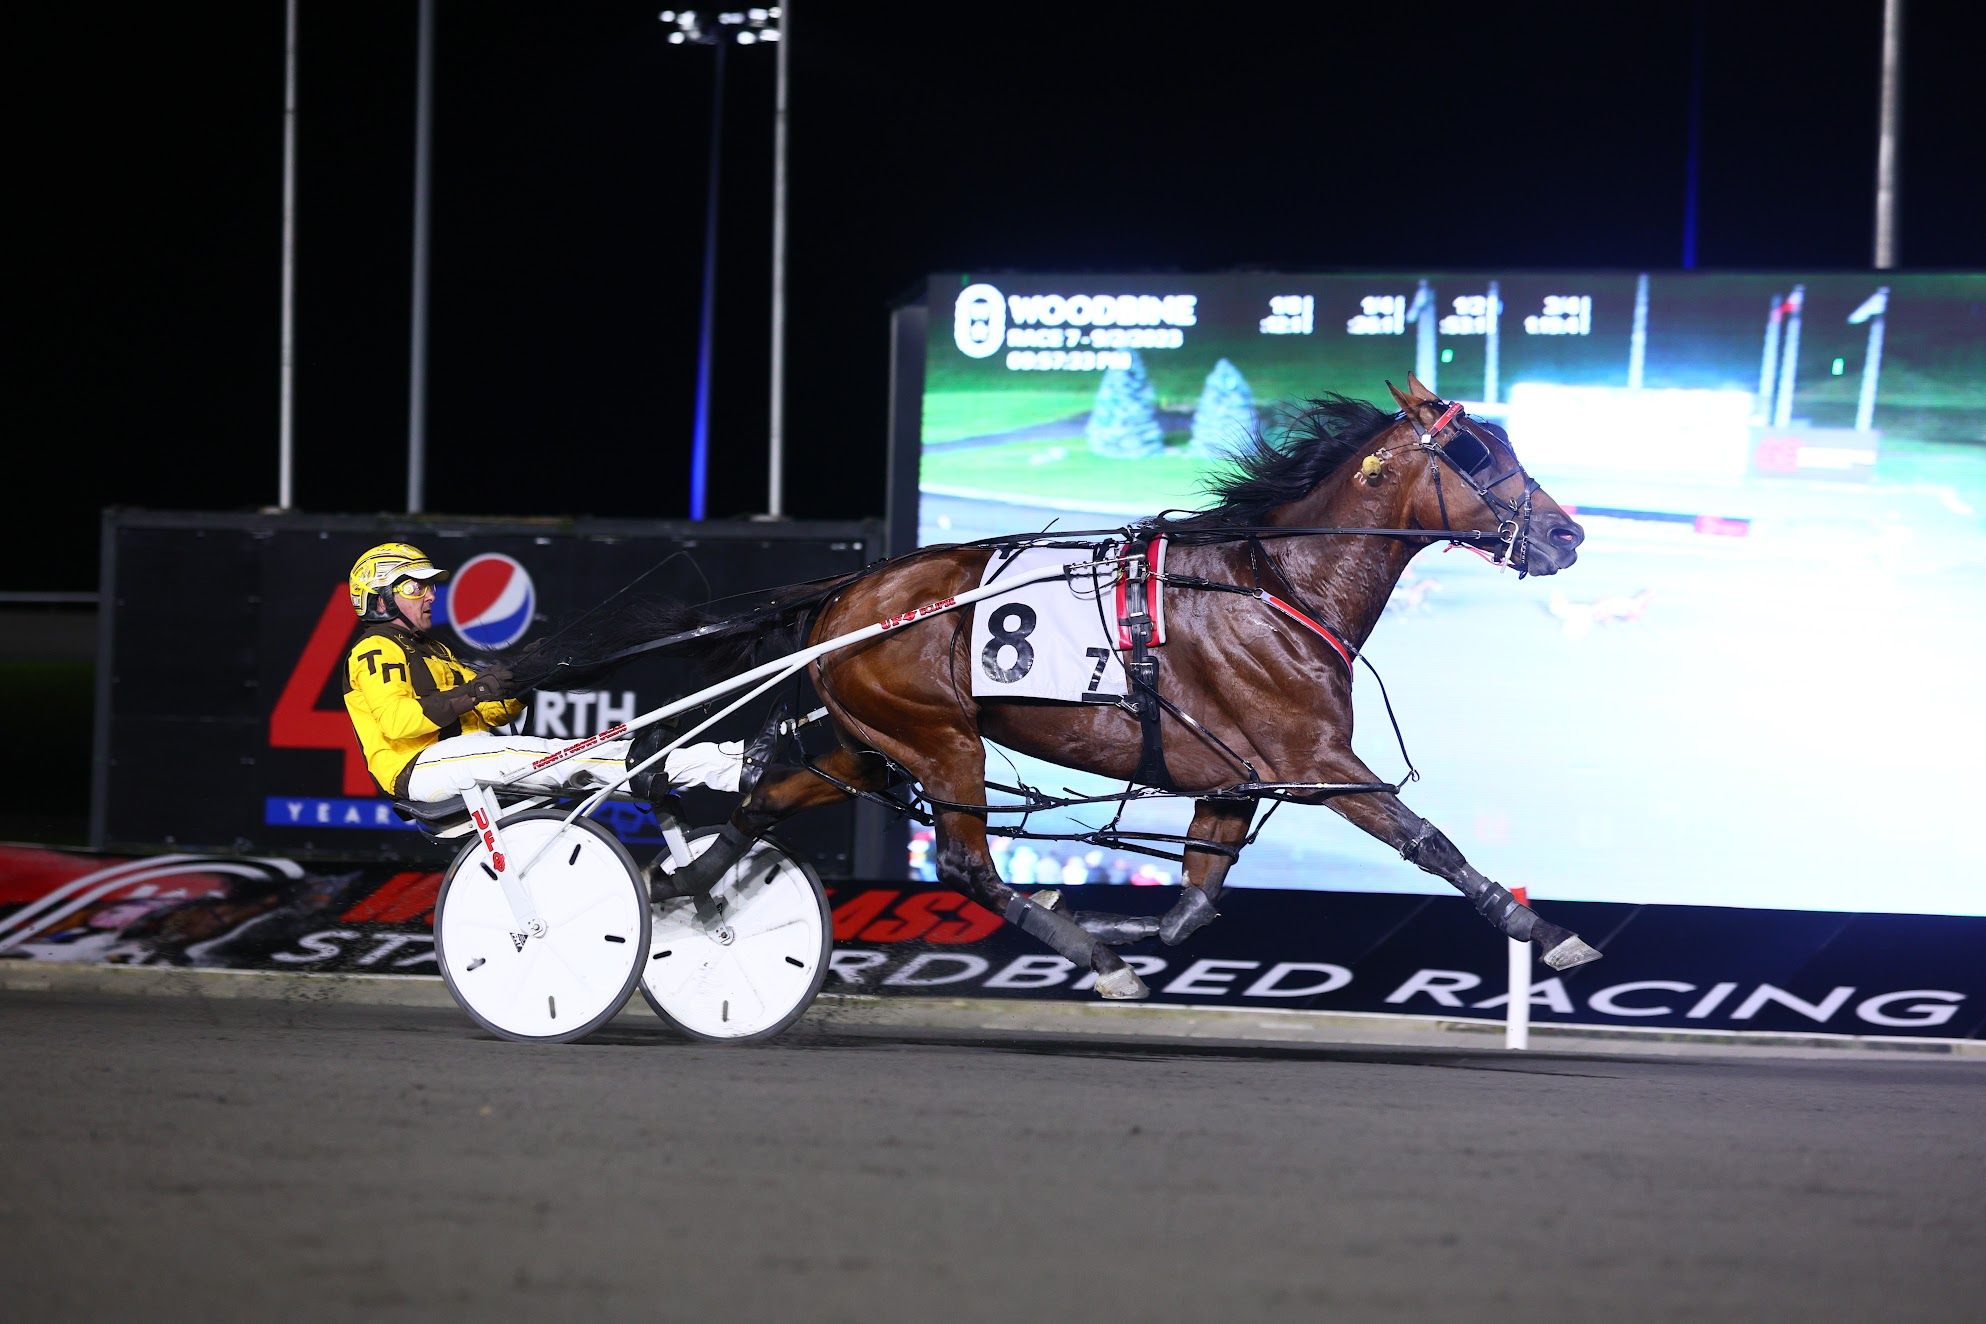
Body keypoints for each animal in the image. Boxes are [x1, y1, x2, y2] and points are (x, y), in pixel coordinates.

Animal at [520, 377, 1588, 1000]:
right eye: (1477, 453)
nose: (1567, 533)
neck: (1279, 585)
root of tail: (849, 593)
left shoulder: (1232, 777)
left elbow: (1193, 905)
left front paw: (1116, 920)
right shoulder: (1314, 755)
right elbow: (1427, 840)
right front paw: (1545, 931)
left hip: (867, 745)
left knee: (762, 805)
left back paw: (680, 890)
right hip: (944, 741)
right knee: (964, 865)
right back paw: (1099, 967)